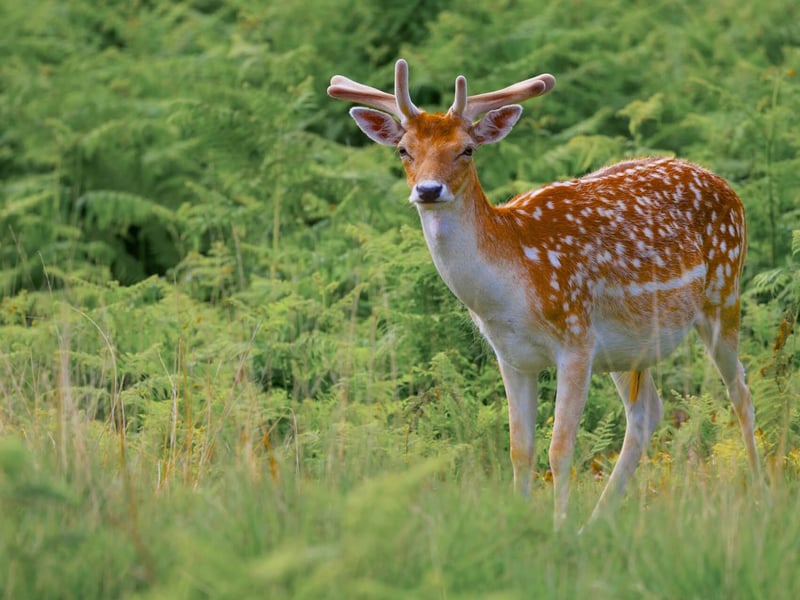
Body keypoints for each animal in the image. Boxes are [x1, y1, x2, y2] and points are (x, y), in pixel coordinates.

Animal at [328, 59, 762, 526]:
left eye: (467, 149)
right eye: (403, 150)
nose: (428, 190)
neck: (510, 290)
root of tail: (729, 188)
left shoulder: (575, 339)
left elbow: (560, 449)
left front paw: (558, 528)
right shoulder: (511, 356)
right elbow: (520, 449)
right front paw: (524, 523)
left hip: (723, 292)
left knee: (741, 393)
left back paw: (763, 495)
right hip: (627, 346)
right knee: (647, 412)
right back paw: (597, 522)